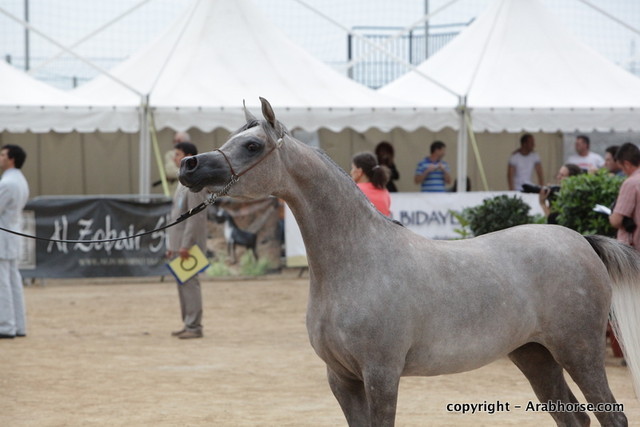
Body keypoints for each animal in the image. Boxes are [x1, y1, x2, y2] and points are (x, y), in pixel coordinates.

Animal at [179, 97, 640, 426]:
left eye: (252, 144)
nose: (189, 165)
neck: (356, 262)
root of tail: (580, 240)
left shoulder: (381, 375)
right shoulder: (341, 379)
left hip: (579, 350)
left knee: (610, 416)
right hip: (534, 355)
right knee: (573, 417)